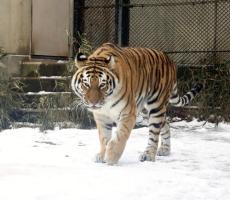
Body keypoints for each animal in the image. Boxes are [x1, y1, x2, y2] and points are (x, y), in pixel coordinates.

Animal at [71, 43, 202, 165]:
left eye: (102, 85)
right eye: (86, 84)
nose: (93, 103)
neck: (106, 102)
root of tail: (169, 59)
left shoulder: (128, 113)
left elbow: (120, 136)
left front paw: (111, 157)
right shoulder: (101, 115)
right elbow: (104, 137)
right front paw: (102, 154)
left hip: (156, 106)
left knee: (154, 132)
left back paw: (148, 155)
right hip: (148, 110)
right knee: (166, 124)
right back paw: (165, 150)